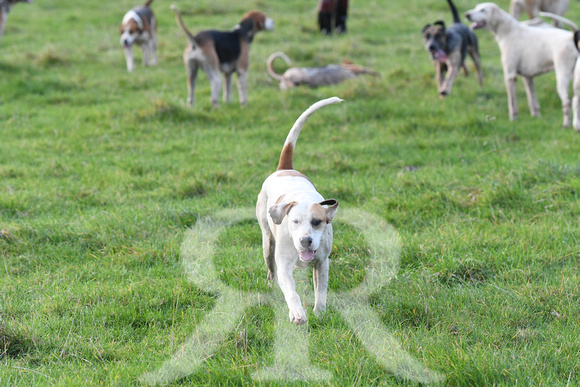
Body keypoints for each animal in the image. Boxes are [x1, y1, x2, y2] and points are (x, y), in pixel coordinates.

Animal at [256, 96, 342, 324]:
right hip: (267, 242)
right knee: (271, 269)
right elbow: (290, 291)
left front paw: (319, 313)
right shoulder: (285, 265)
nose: (305, 241)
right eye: (294, 222)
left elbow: (321, 290)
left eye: (317, 222)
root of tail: (285, 169)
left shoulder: (322, 263)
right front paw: (297, 313)